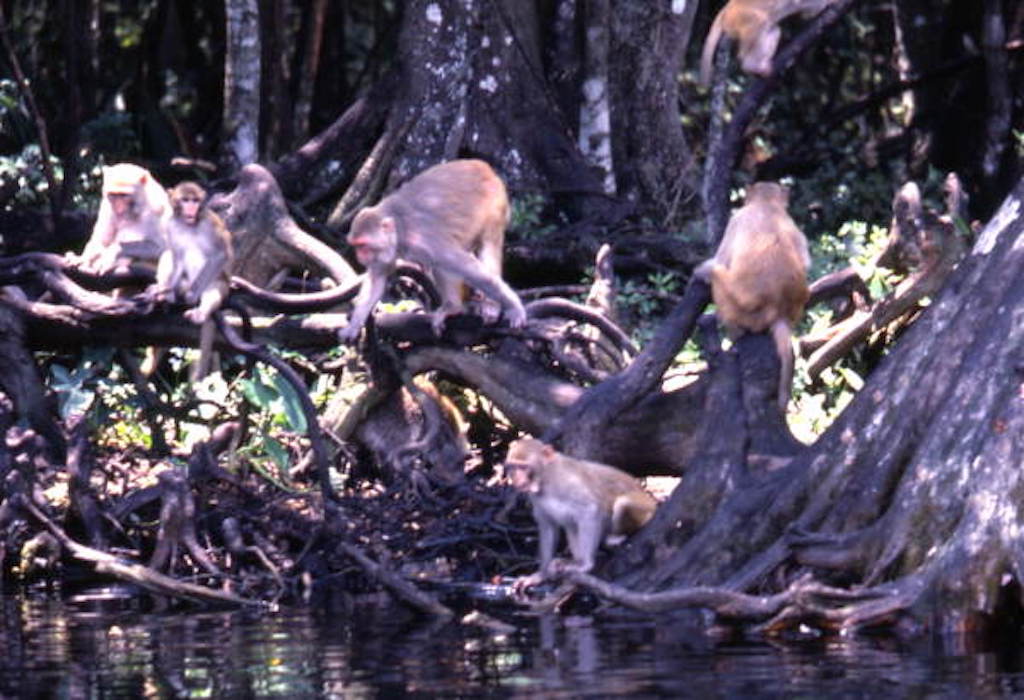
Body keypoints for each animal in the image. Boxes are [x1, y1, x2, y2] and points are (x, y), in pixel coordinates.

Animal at [146, 180, 234, 376]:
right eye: (185, 200)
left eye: (195, 200)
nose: (192, 209)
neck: (188, 224)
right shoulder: (170, 225)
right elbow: (176, 257)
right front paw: (165, 294)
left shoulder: (209, 223)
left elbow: (220, 254)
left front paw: (192, 296)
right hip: (183, 282)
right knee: (168, 255)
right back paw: (163, 293)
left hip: (218, 282)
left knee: (212, 289)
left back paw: (200, 312)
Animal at [339, 159, 524, 343]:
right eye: (355, 245)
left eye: (363, 245)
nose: (359, 256)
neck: (399, 228)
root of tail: (482, 165)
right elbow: (377, 279)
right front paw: (353, 326)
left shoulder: (423, 240)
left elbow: (467, 267)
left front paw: (515, 308)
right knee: (442, 265)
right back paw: (455, 306)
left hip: (495, 203)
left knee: (483, 248)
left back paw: (488, 306)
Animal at [696, 182, 806, 409]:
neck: (766, 205)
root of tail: (778, 312)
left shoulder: (736, 220)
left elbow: (721, 259)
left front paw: (701, 272)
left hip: (737, 307)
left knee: (717, 273)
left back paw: (736, 333)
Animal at [700, 0, 835, 85]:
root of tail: (726, 9)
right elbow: (807, 7)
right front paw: (832, 2)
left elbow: (807, 13)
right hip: (739, 17)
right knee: (760, 21)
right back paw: (750, 64)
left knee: (774, 30)